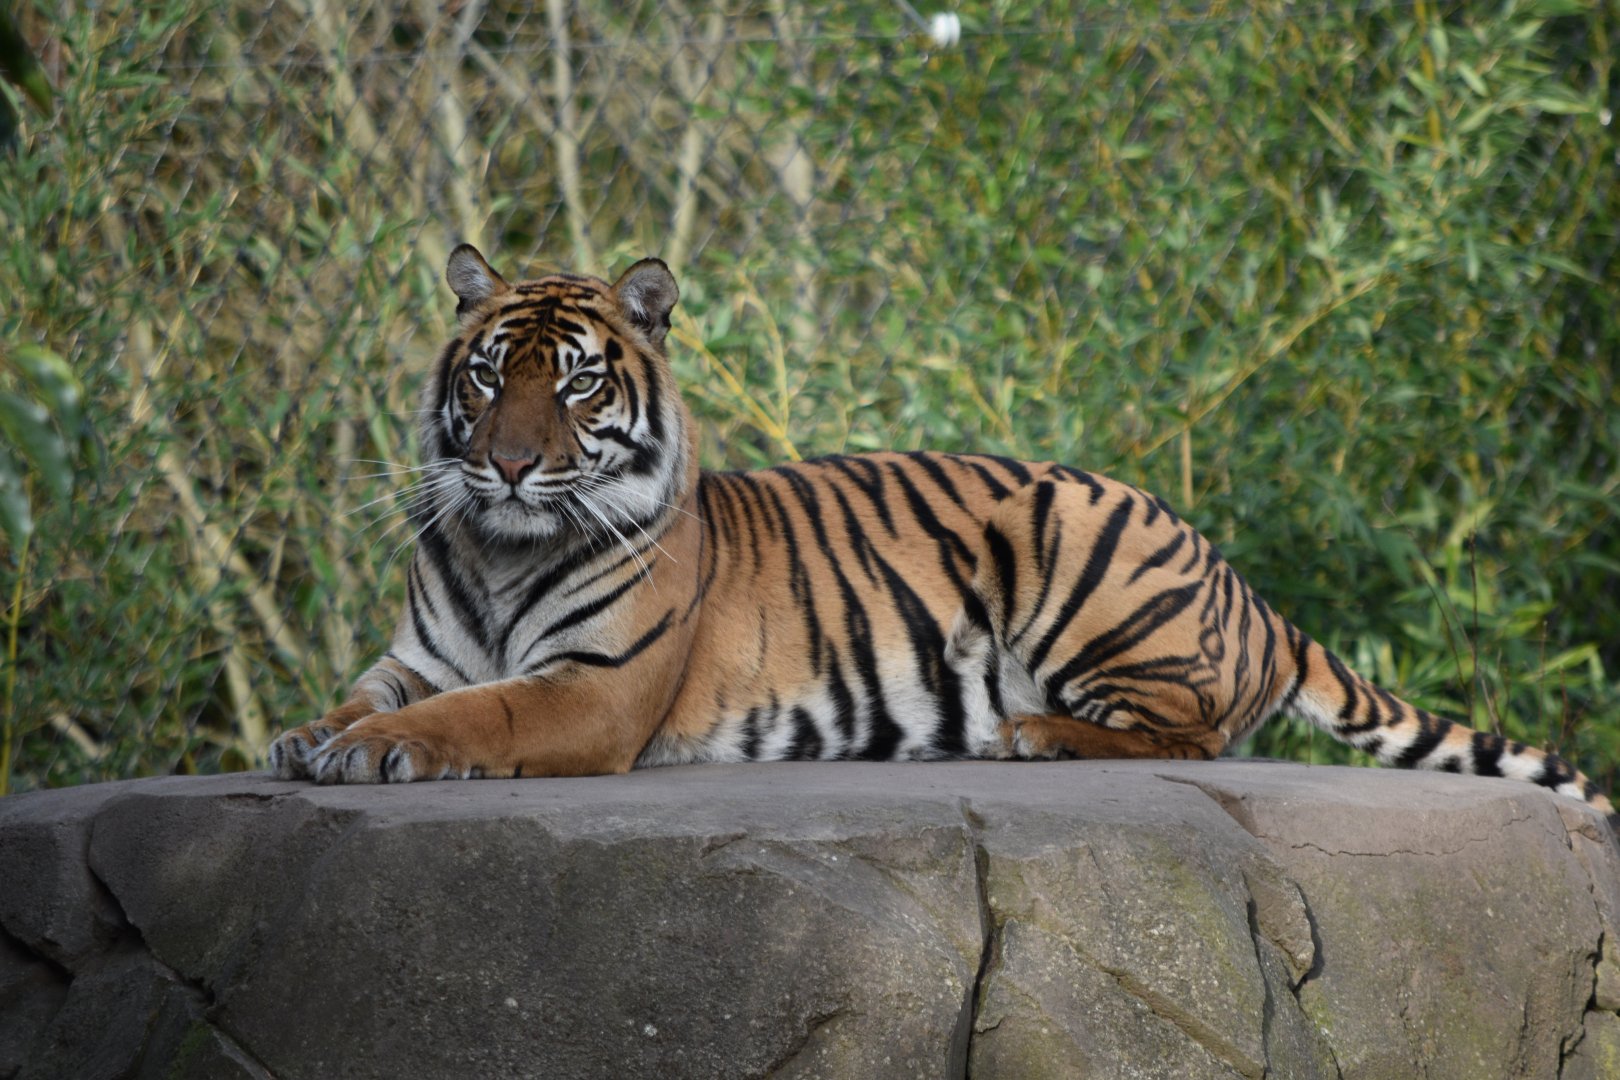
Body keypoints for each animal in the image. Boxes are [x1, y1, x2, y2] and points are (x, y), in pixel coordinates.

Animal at [267, 244, 1614, 821]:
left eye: (581, 384)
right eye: (491, 374)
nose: (506, 463)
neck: (501, 552)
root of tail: (1251, 590)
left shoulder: (591, 689)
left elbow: (469, 718)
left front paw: (370, 757)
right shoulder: (416, 654)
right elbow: (370, 696)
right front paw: (306, 739)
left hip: (1083, 553)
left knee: (1194, 732)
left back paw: (1030, 736)